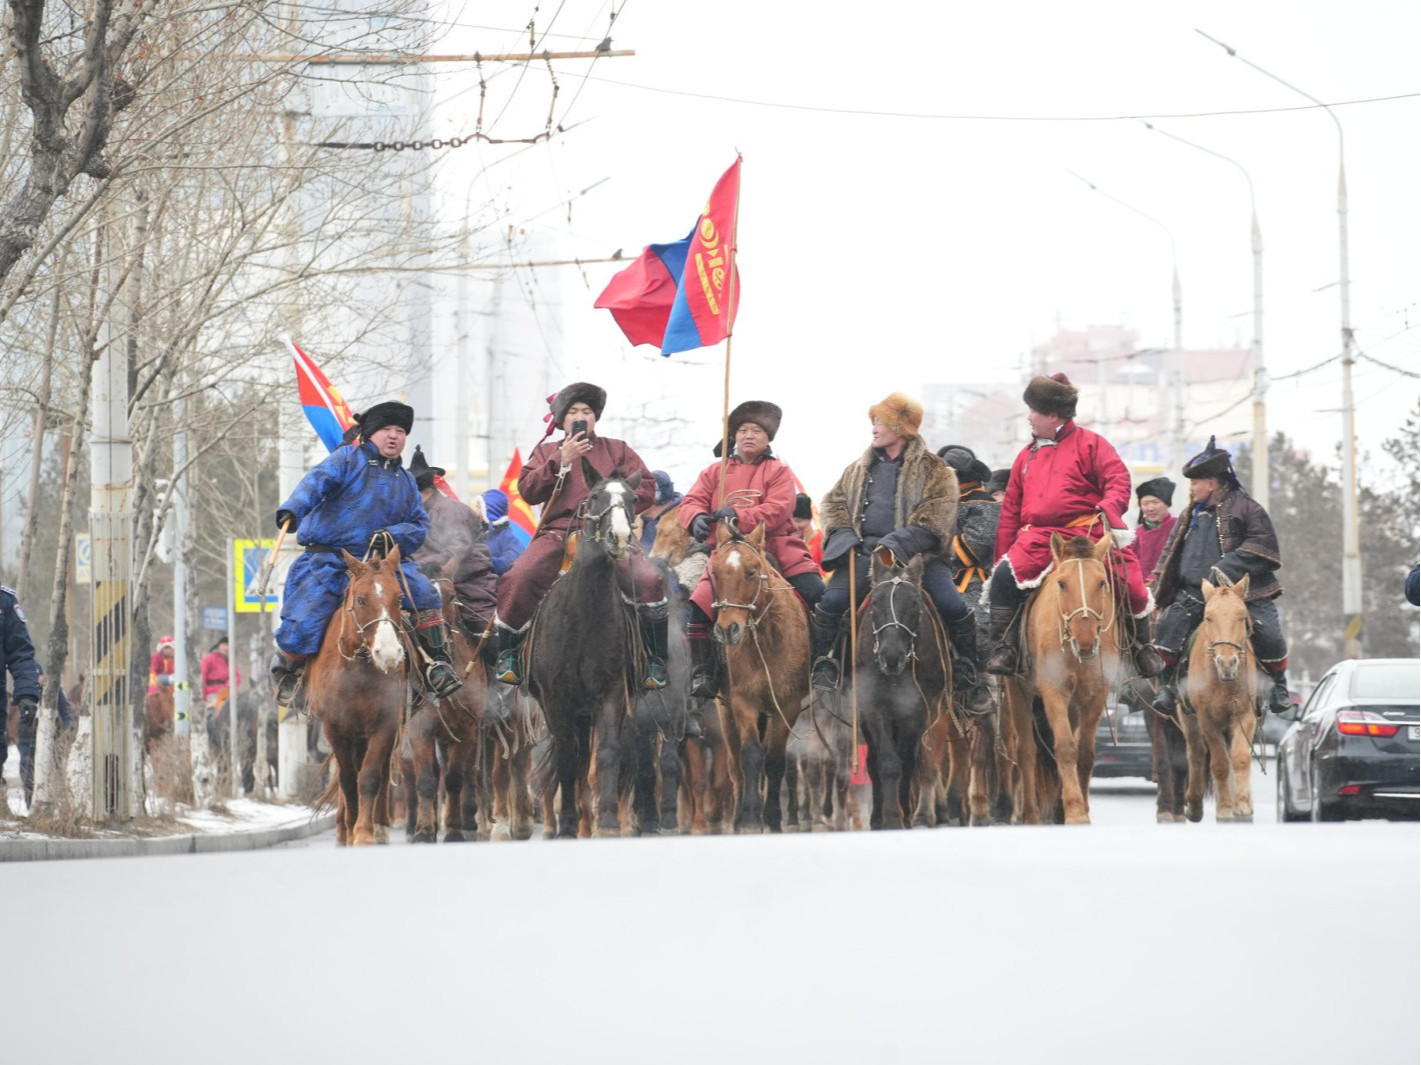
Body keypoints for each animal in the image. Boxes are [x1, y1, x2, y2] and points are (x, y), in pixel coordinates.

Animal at [304, 543, 406, 841]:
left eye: (399, 599)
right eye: (361, 600)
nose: (389, 654)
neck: (358, 672)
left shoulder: (384, 725)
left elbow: (369, 777)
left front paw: (363, 833)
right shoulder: (335, 729)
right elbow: (348, 780)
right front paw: (351, 831)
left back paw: (379, 827)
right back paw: (342, 830)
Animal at [528, 457, 645, 841]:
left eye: (634, 498)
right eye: (594, 496)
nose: (619, 538)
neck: (584, 614)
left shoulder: (611, 693)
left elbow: (606, 754)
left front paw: (607, 821)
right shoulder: (556, 699)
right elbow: (567, 761)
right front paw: (566, 823)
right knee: (575, 760)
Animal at [701, 520, 807, 830]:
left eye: (751, 571)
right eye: (715, 572)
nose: (727, 630)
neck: (767, 639)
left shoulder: (787, 704)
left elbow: (774, 760)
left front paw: (772, 817)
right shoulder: (743, 702)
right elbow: (750, 756)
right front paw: (749, 817)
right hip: (726, 714)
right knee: (736, 767)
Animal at [1000, 534, 1119, 824]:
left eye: (1102, 583)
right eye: (1062, 584)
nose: (1085, 641)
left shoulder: (1096, 695)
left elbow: (1085, 754)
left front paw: (1080, 807)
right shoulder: (1053, 691)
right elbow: (1065, 747)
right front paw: (1075, 811)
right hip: (1018, 693)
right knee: (1026, 751)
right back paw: (1030, 814)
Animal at [1176, 577, 1256, 819]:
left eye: (1242, 616)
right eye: (1208, 617)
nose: (1227, 663)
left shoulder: (1246, 714)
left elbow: (1240, 757)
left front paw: (1243, 804)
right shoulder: (1207, 720)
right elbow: (1219, 763)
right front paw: (1225, 808)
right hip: (1187, 716)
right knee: (1196, 752)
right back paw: (1194, 805)